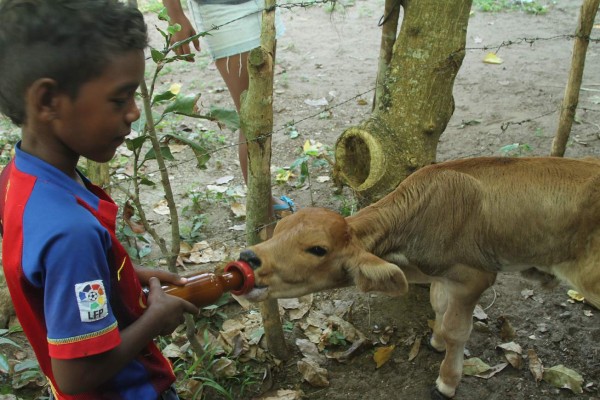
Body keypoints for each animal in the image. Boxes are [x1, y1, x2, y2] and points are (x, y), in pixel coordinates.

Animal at [238, 156, 600, 396]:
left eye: (317, 249)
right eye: (278, 230)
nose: (247, 257)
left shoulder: (475, 277)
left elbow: (457, 330)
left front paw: (448, 380)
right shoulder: (441, 275)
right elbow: (438, 306)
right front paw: (436, 340)